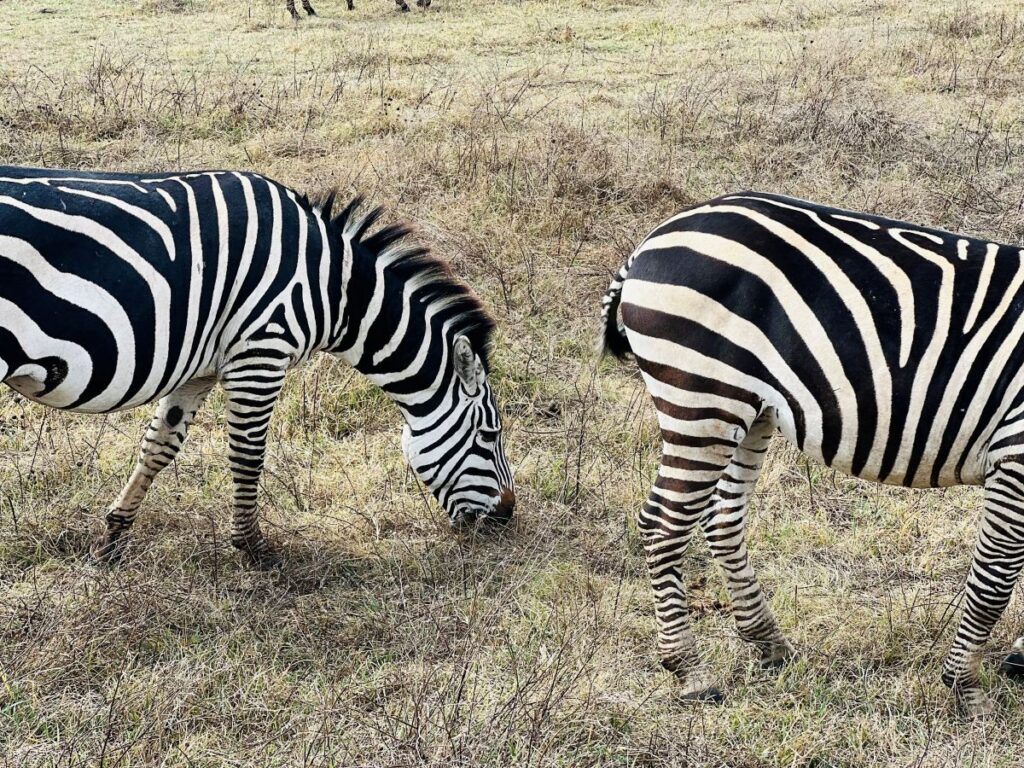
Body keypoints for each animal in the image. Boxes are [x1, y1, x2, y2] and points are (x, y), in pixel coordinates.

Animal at [0, 166, 514, 570]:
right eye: (489, 436)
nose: (507, 517)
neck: (336, 289)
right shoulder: (262, 350)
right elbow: (248, 455)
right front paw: (252, 548)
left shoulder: (202, 367)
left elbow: (159, 446)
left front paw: (112, 539)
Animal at [599, 190, 1024, 717]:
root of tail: (656, 236)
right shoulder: (1015, 452)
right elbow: (995, 577)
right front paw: (965, 689)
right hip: (702, 399)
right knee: (663, 525)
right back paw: (690, 672)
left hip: (750, 411)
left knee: (723, 520)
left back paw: (768, 644)